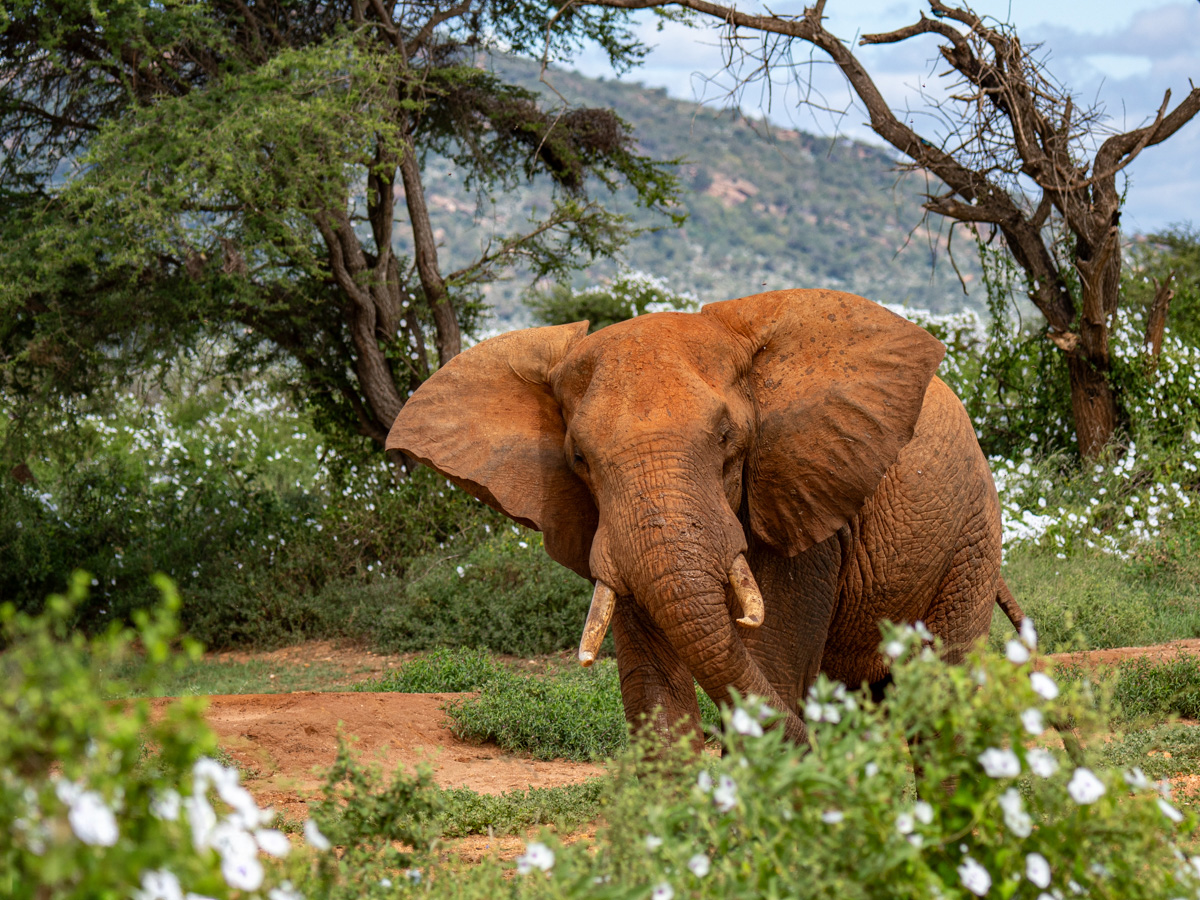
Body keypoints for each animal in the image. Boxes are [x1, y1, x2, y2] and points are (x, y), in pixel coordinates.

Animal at [386, 289, 1024, 748]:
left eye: (726, 439)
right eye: (578, 459)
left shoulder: (795, 499)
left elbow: (768, 667)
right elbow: (654, 695)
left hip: (972, 537)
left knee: (943, 696)